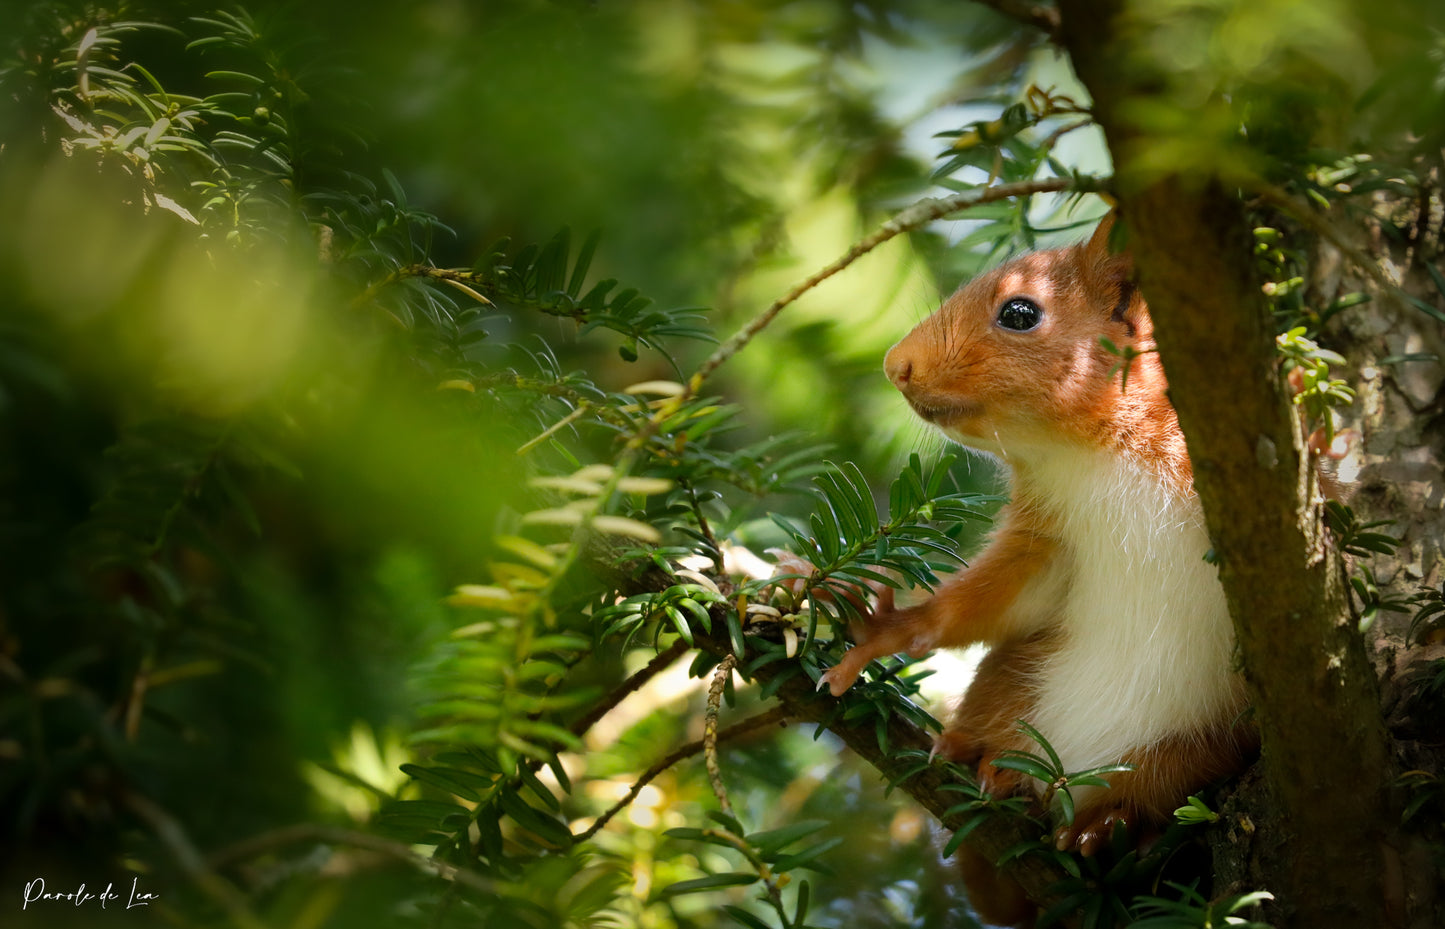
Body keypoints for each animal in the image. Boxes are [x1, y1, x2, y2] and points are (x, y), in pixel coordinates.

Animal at [826, 216, 1254, 924]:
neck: (1095, 451)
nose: (896, 366)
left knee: (1157, 787)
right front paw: (886, 632)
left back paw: (1110, 823)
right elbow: (989, 602)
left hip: (1197, 745)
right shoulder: (1046, 538)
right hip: (1013, 686)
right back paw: (996, 771)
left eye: (1020, 313)